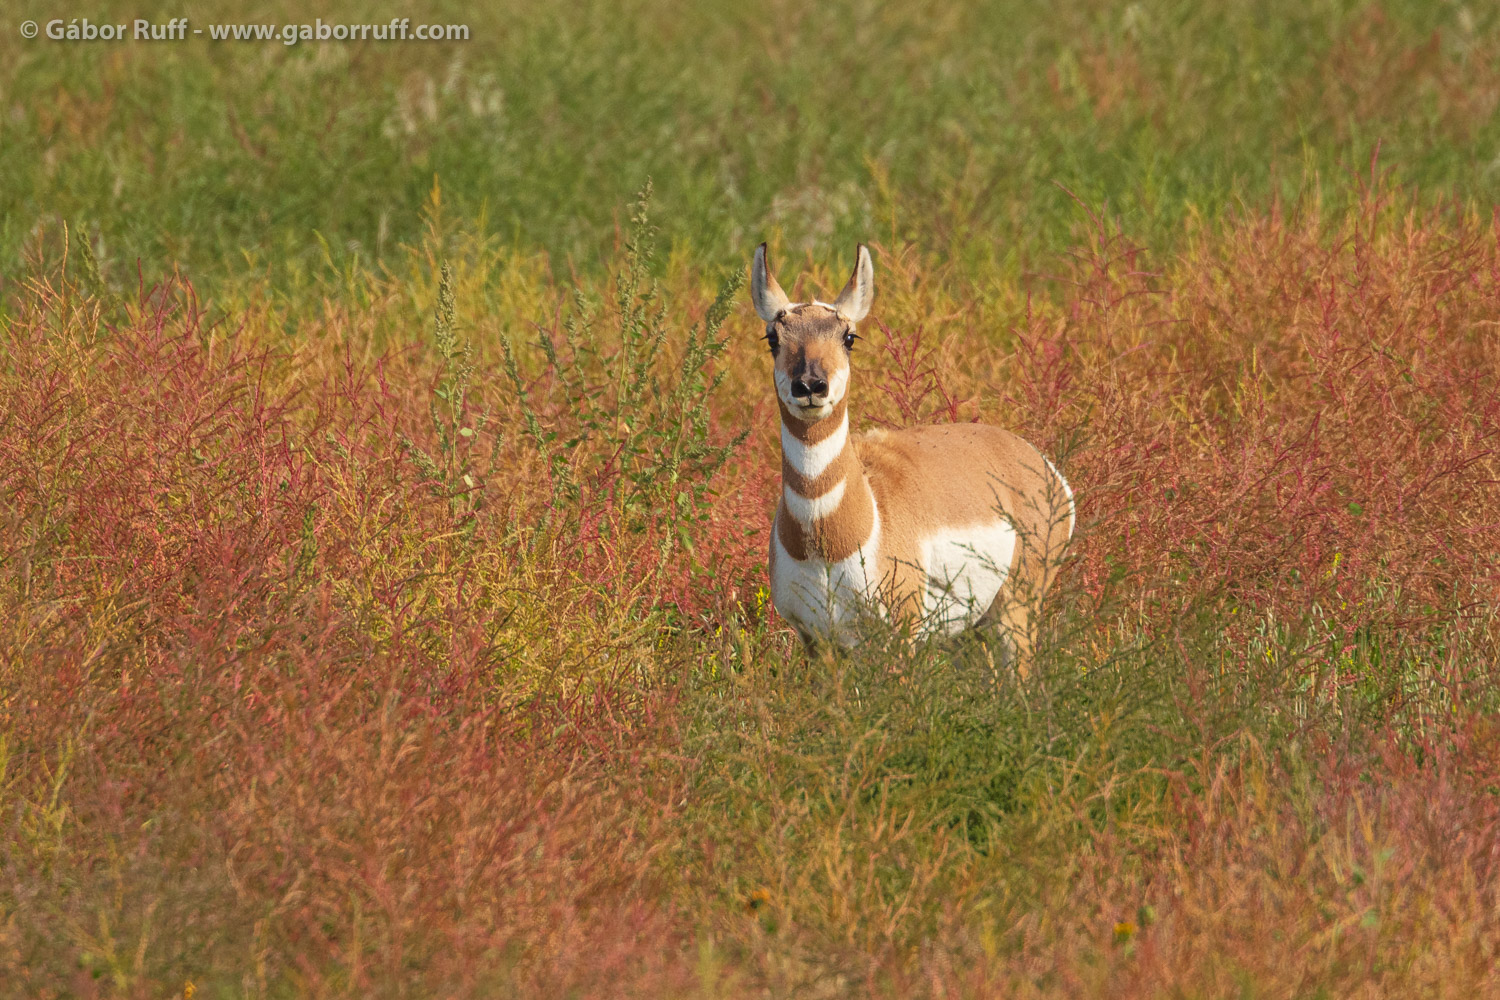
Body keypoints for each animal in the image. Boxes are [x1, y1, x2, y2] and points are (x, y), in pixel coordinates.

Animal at [756, 239, 1074, 665]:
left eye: (849, 337)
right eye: (773, 338)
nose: (809, 385)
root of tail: (1036, 460)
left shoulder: (900, 636)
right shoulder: (817, 644)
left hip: (1015, 613)